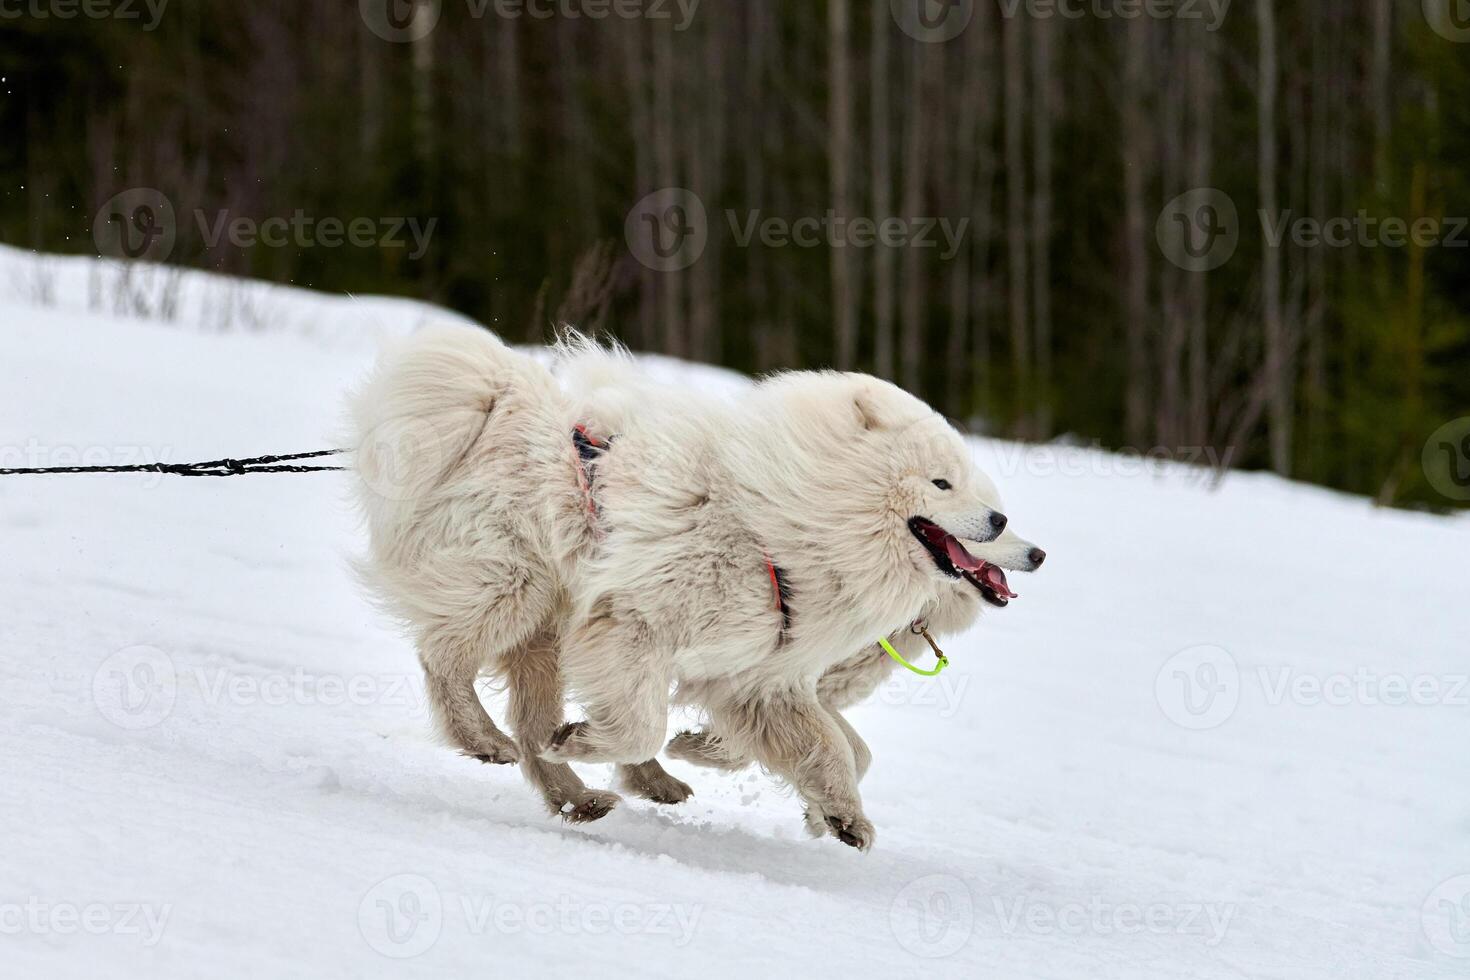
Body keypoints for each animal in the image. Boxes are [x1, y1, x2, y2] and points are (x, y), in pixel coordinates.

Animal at [346, 323, 1034, 852]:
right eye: (942, 483)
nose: (1008, 527)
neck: (779, 524)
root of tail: (494, 400)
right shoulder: (634, 624)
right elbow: (641, 726)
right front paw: (596, 741)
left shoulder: (761, 676)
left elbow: (834, 748)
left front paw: (843, 818)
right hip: (517, 584)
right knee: (444, 658)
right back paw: (486, 740)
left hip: (545, 626)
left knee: (526, 720)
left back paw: (578, 797)